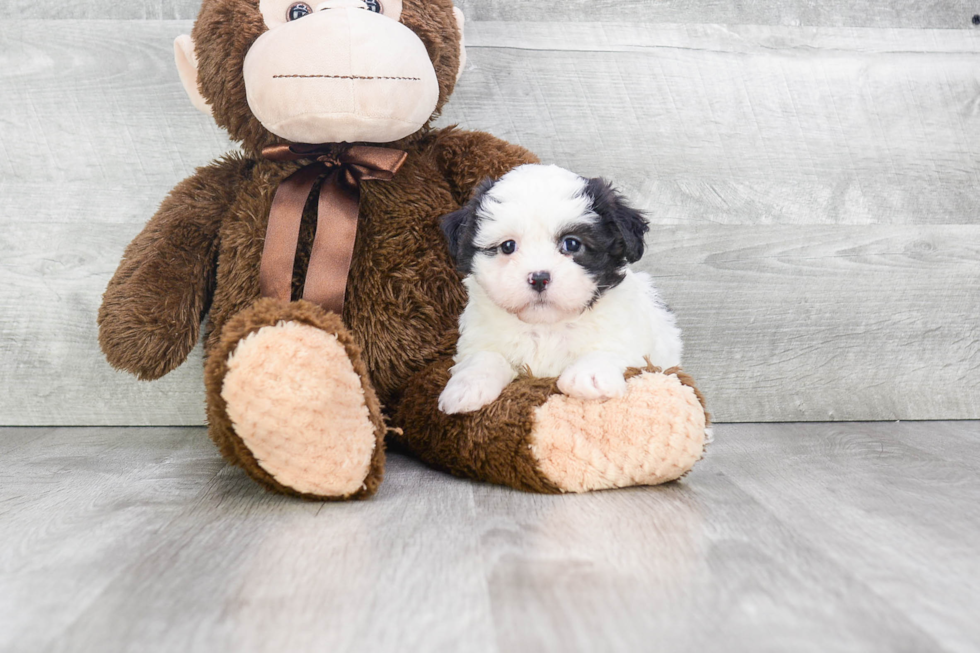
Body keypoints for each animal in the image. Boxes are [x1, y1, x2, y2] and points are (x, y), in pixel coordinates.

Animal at [440, 166, 684, 416]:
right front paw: (467, 385)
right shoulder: (479, 337)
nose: (539, 278)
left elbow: (613, 348)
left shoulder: (632, 339)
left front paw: (589, 374)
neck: (546, 327)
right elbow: (483, 356)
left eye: (572, 244)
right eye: (508, 246)